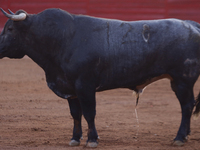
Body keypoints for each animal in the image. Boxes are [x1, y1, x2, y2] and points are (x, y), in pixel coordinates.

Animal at [0, 7, 199, 146]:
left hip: (182, 81)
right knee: (188, 106)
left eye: (9, 29)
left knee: (187, 106)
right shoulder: (70, 88)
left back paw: (179, 137)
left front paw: (92, 140)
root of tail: (191, 24)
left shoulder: (85, 86)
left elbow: (89, 113)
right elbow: (75, 114)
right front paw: (75, 138)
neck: (61, 39)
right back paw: (185, 135)